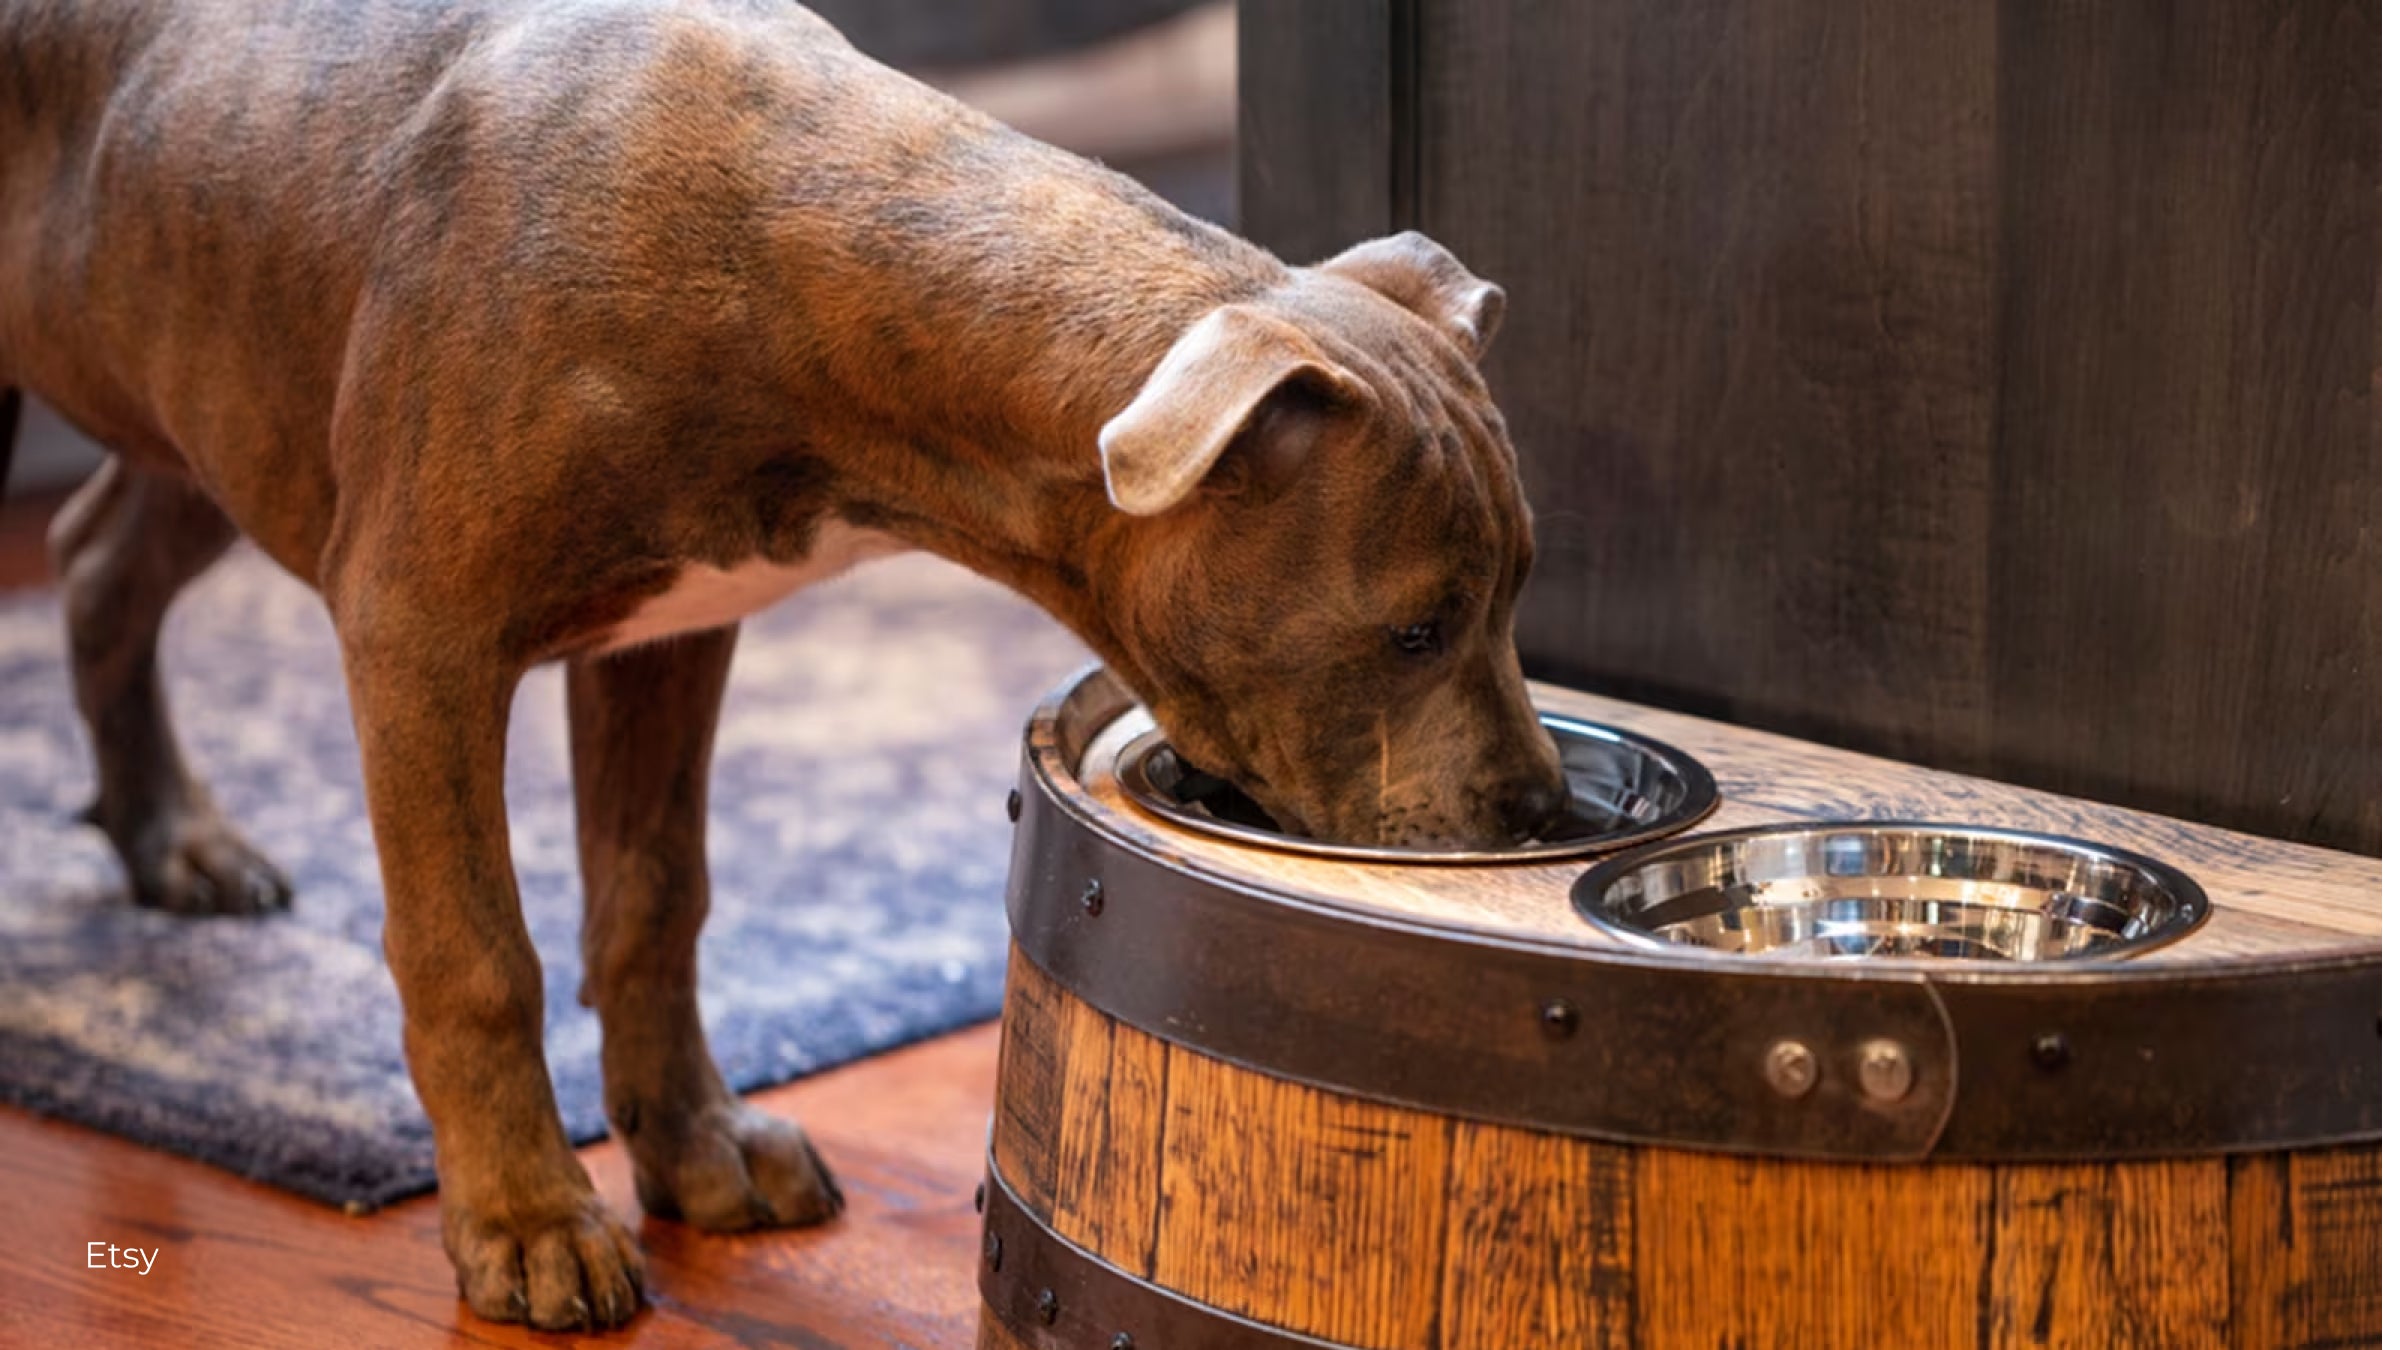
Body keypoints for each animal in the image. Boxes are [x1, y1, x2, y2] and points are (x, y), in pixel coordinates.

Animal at [0, 0, 1564, 1325]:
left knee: (96, 560)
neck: (785, 261)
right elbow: (475, 952)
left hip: (204, 390)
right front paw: (528, 1221)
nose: (1541, 815)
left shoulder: (671, 632)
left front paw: (695, 1149)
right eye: (1414, 629)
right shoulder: (418, 632)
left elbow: (656, 900)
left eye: (1515, 593)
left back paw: (173, 839)